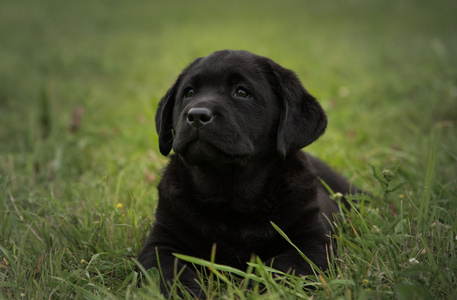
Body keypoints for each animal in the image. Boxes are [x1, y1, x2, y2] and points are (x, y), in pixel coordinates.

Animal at [137, 50, 354, 296]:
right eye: (189, 92)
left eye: (241, 92)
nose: (196, 115)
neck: (230, 197)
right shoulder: (160, 244)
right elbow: (168, 272)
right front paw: (188, 292)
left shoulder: (312, 244)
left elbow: (278, 267)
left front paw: (251, 289)